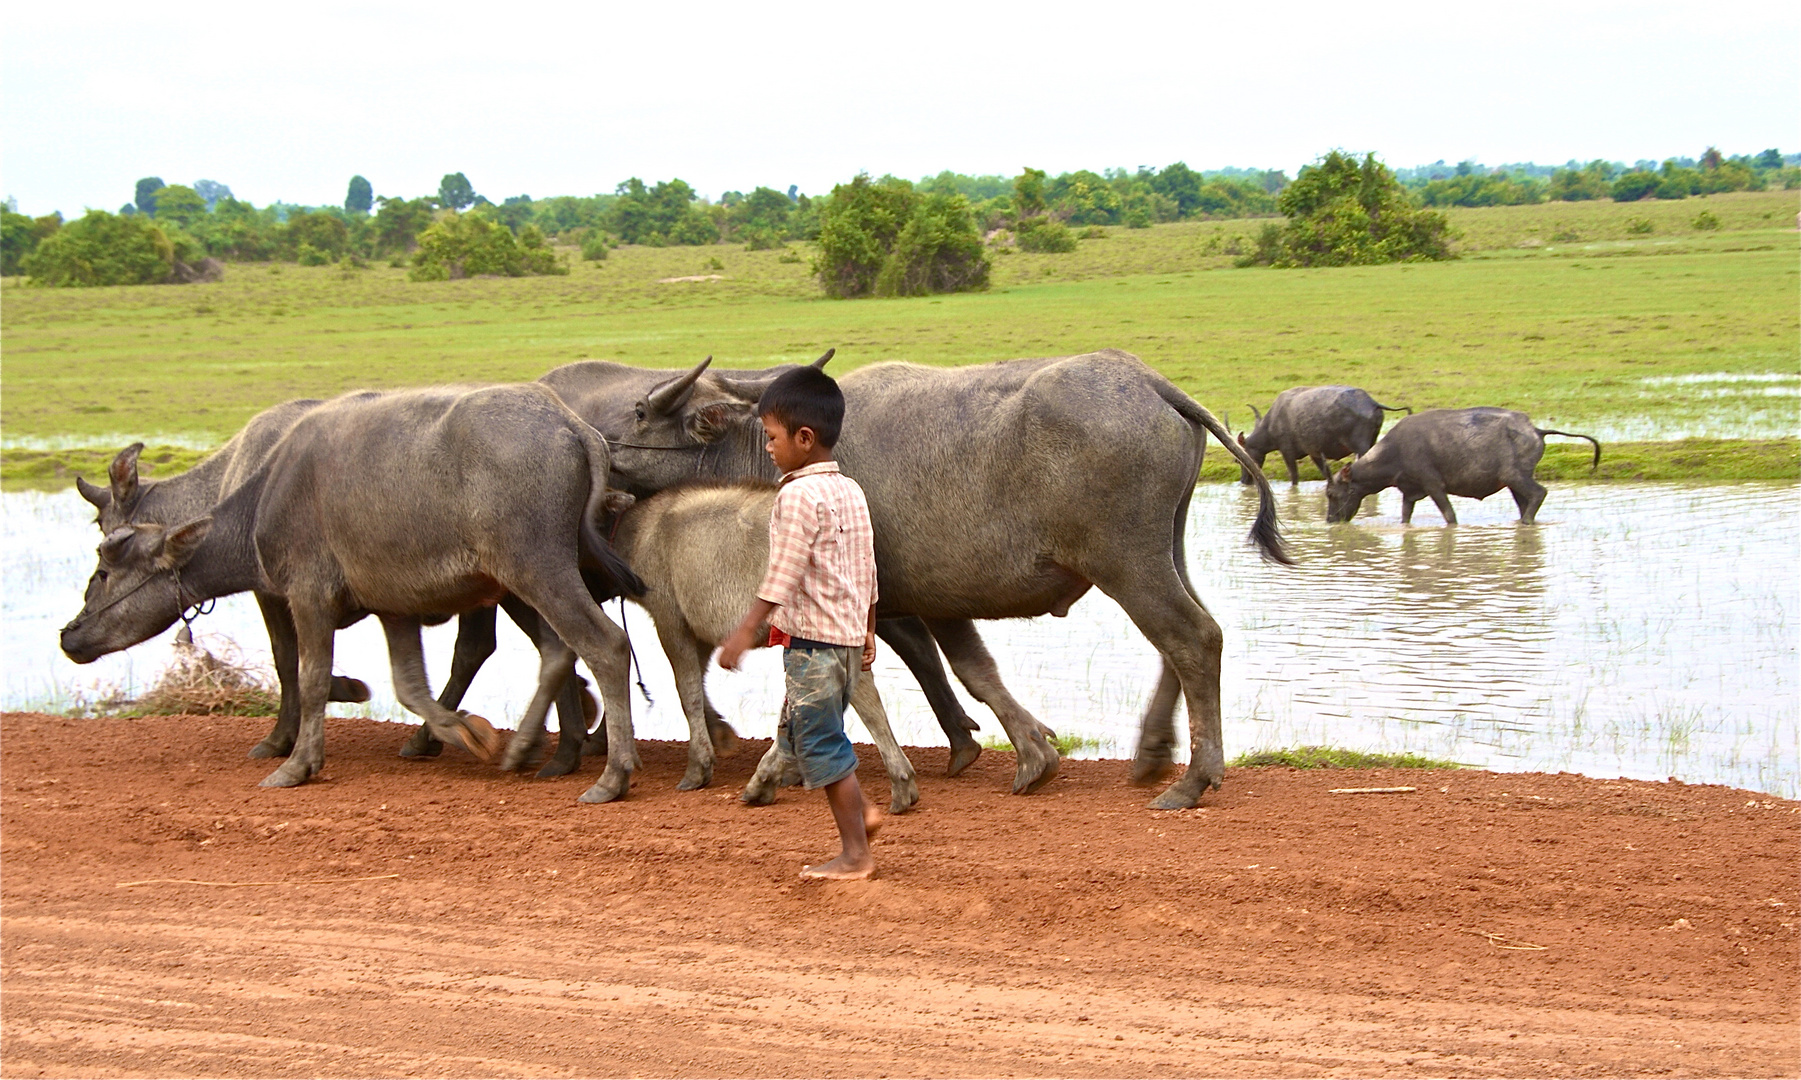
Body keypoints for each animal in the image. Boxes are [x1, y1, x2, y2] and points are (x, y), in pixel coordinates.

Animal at [61, 388, 648, 792]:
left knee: (602, 645)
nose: (70, 634)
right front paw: (464, 732)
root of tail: (574, 427)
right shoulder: (393, 608)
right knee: (556, 651)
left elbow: (305, 673)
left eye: (104, 569)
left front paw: (295, 758)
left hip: (536, 570)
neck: (258, 487)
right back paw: (533, 747)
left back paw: (610, 774)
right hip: (519, 583)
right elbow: (409, 685)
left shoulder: (303, 596)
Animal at [612, 482, 922, 810]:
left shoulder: (669, 617)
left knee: (839, 694)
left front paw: (697, 768)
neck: (635, 528)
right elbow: (698, 682)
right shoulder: (702, 632)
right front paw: (720, 736)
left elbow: (687, 691)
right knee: (853, 692)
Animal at [1231, 379, 1411, 482]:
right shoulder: (1314, 453)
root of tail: (1371, 403)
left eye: (1238, 460)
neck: (1271, 423)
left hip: (1361, 447)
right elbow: (1325, 473)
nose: (1244, 481)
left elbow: (1294, 477)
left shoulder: (1286, 452)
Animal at [1325, 406, 1606, 525]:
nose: (1329, 520)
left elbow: (1450, 516)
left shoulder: (1434, 486)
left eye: (1332, 494)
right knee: (1527, 502)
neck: (1395, 452)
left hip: (1515, 476)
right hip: (1514, 483)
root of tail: (1535, 430)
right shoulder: (1409, 491)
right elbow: (1405, 517)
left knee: (1539, 493)